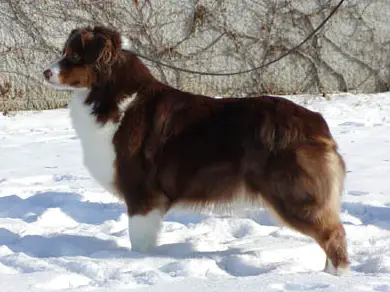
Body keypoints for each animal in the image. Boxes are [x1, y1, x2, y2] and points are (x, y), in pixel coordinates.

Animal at [43, 26, 350, 274]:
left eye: (74, 56)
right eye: (64, 52)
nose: (44, 72)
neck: (109, 93)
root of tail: (316, 122)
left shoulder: (141, 193)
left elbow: (139, 240)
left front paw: (136, 262)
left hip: (293, 195)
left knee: (334, 234)